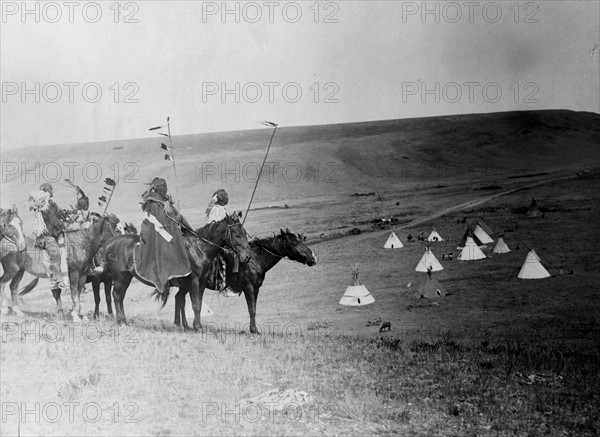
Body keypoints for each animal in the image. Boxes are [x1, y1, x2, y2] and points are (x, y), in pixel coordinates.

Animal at [105, 212, 251, 330]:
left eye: (245, 234)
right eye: (237, 235)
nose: (247, 256)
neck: (199, 249)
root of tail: (111, 242)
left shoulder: (202, 282)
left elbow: (196, 302)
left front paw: (194, 326)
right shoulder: (194, 281)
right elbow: (195, 305)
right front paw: (197, 327)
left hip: (126, 278)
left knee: (120, 297)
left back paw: (124, 321)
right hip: (120, 278)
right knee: (117, 296)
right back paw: (121, 322)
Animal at [173, 227, 316, 332]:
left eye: (300, 240)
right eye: (294, 243)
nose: (313, 257)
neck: (255, 259)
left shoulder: (256, 288)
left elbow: (254, 308)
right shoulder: (249, 287)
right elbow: (251, 309)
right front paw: (254, 330)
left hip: (186, 285)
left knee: (179, 298)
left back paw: (183, 325)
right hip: (190, 284)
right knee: (181, 299)